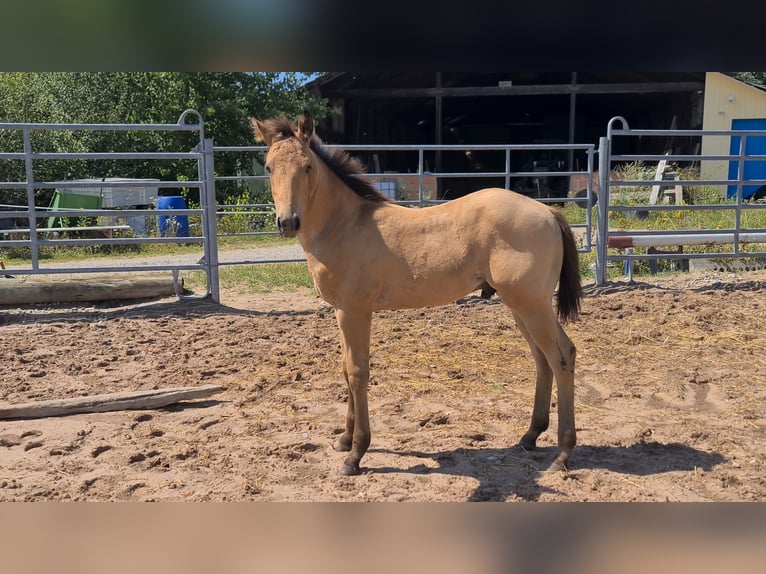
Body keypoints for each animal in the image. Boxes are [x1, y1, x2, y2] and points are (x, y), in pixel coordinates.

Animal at [252, 111, 584, 476]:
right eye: (268, 167)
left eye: (307, 166)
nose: (288, 222)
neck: (344, 225)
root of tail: (547, 211)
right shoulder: (340, 311)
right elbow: (345, 369)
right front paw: (344, 439)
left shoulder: (354, 310)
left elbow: (357, 372)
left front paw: (356, 453)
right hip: (519, 305)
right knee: (542, 359)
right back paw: (530, 436)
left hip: (532, 304)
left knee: (561, 356)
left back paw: (562, 453)